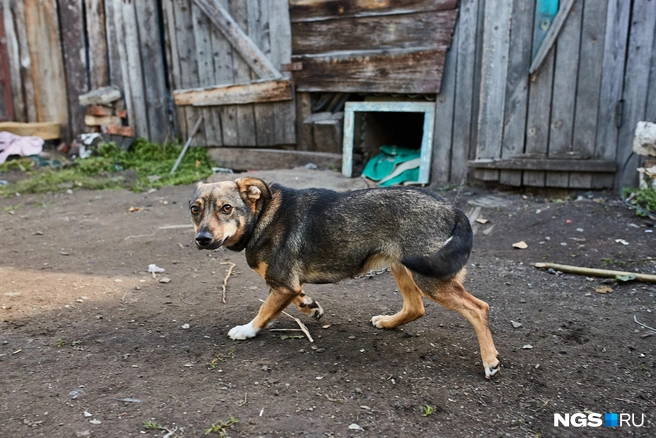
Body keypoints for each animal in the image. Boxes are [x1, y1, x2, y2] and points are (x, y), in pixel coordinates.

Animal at [190, 178, 502, 380]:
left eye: (226, 208)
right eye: (195, 209)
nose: (201, 239)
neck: (264, 214)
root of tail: (455, 210)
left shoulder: (281, 284)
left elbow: (263, 312)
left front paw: (246, 330)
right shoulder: (287, 284)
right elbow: (298, 296)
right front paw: (309, 306)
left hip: (428, 277)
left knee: (479, 308)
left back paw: (490, 361)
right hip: (401, 267)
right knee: (416, 307)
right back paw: (388, 322)